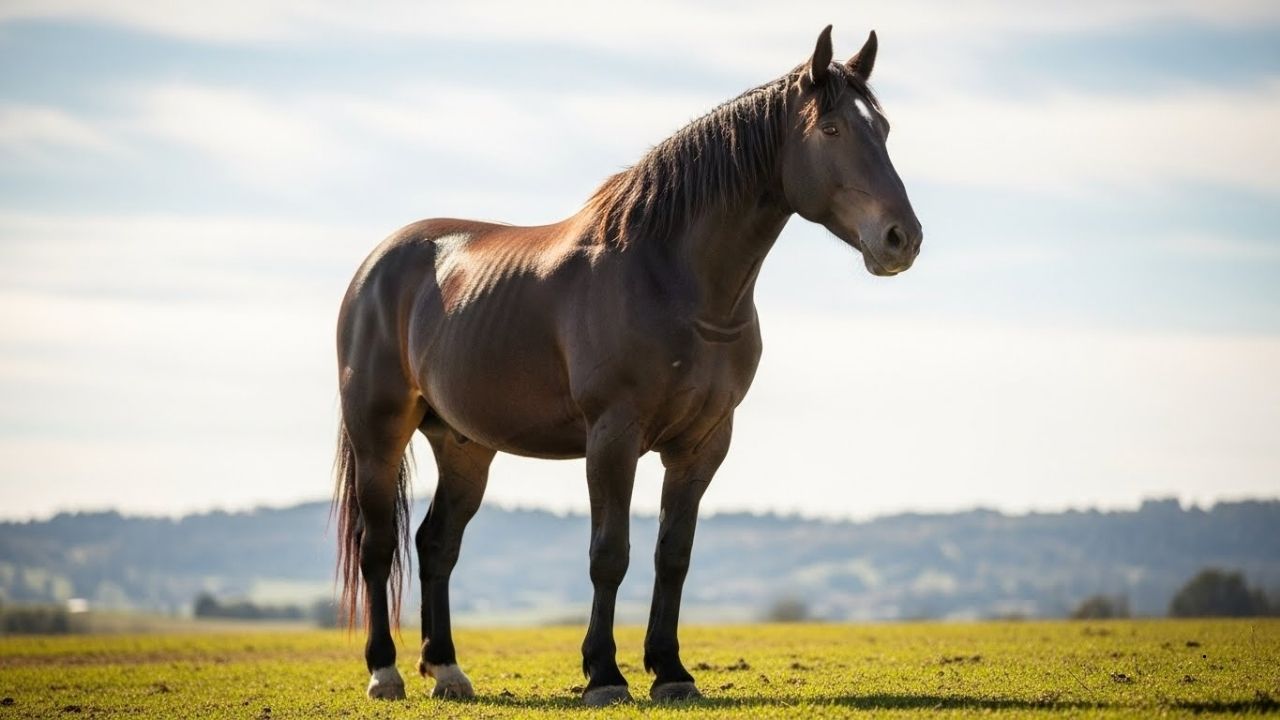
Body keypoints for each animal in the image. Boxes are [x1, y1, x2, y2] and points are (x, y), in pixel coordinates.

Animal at [332, 25, 921, 705]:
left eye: (883, 128)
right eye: (830, 128)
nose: (902, 239)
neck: (668, 277)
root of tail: (376, 266)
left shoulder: (703, 443)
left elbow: (674, 555)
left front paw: (671, 671)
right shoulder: (613, 436)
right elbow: (609, 553)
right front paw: (604, 675)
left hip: (463, 444)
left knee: (436, 545)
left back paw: (449, 671)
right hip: (378, 434)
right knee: (378, 546)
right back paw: (385, 672)